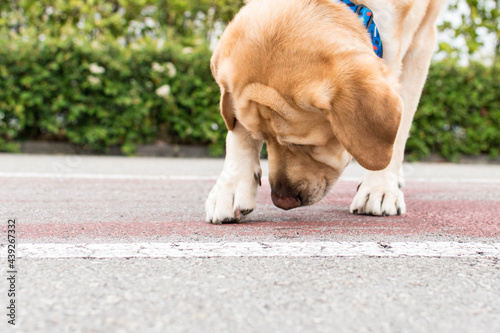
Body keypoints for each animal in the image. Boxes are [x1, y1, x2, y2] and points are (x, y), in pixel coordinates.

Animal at [205, 0, 448, 223]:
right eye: (263, 137)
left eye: (305, 145)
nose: (282, 201)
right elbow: (237, 130)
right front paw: (230, 187)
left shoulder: (420, 44)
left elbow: (399, 128)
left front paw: (379, 187)